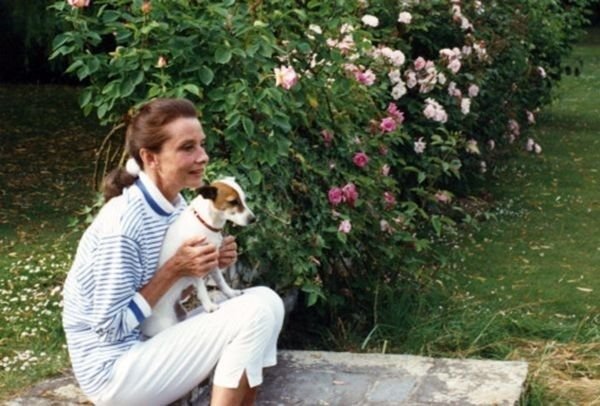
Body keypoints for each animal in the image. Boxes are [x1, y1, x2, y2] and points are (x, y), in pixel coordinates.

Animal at [142, 178, 256, 336]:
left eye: (244, 200)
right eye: (233, 202)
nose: (254, 219)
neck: (206, 223)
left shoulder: (212, 262)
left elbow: (221, 282)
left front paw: (230, 293)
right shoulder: (195, 266)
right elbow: (202, 289)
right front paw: (209, 306)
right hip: (164, 325)